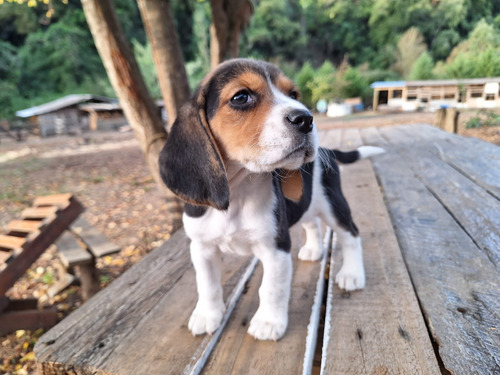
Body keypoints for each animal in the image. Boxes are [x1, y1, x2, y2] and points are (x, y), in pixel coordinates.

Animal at [160, 58, 382, 340]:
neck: (238, 192)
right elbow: (207, 285)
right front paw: (207, 316)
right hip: (308, 203)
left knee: (351, 234)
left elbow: (271, 288)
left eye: (294, 95)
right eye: (241, 97)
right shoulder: (202, 248)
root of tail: (327, 150)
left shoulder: (276, 248)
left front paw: (268, 322)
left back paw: (352, 274)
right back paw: (314, 250)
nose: (306, 119)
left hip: (334, 205)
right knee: (312, 223)